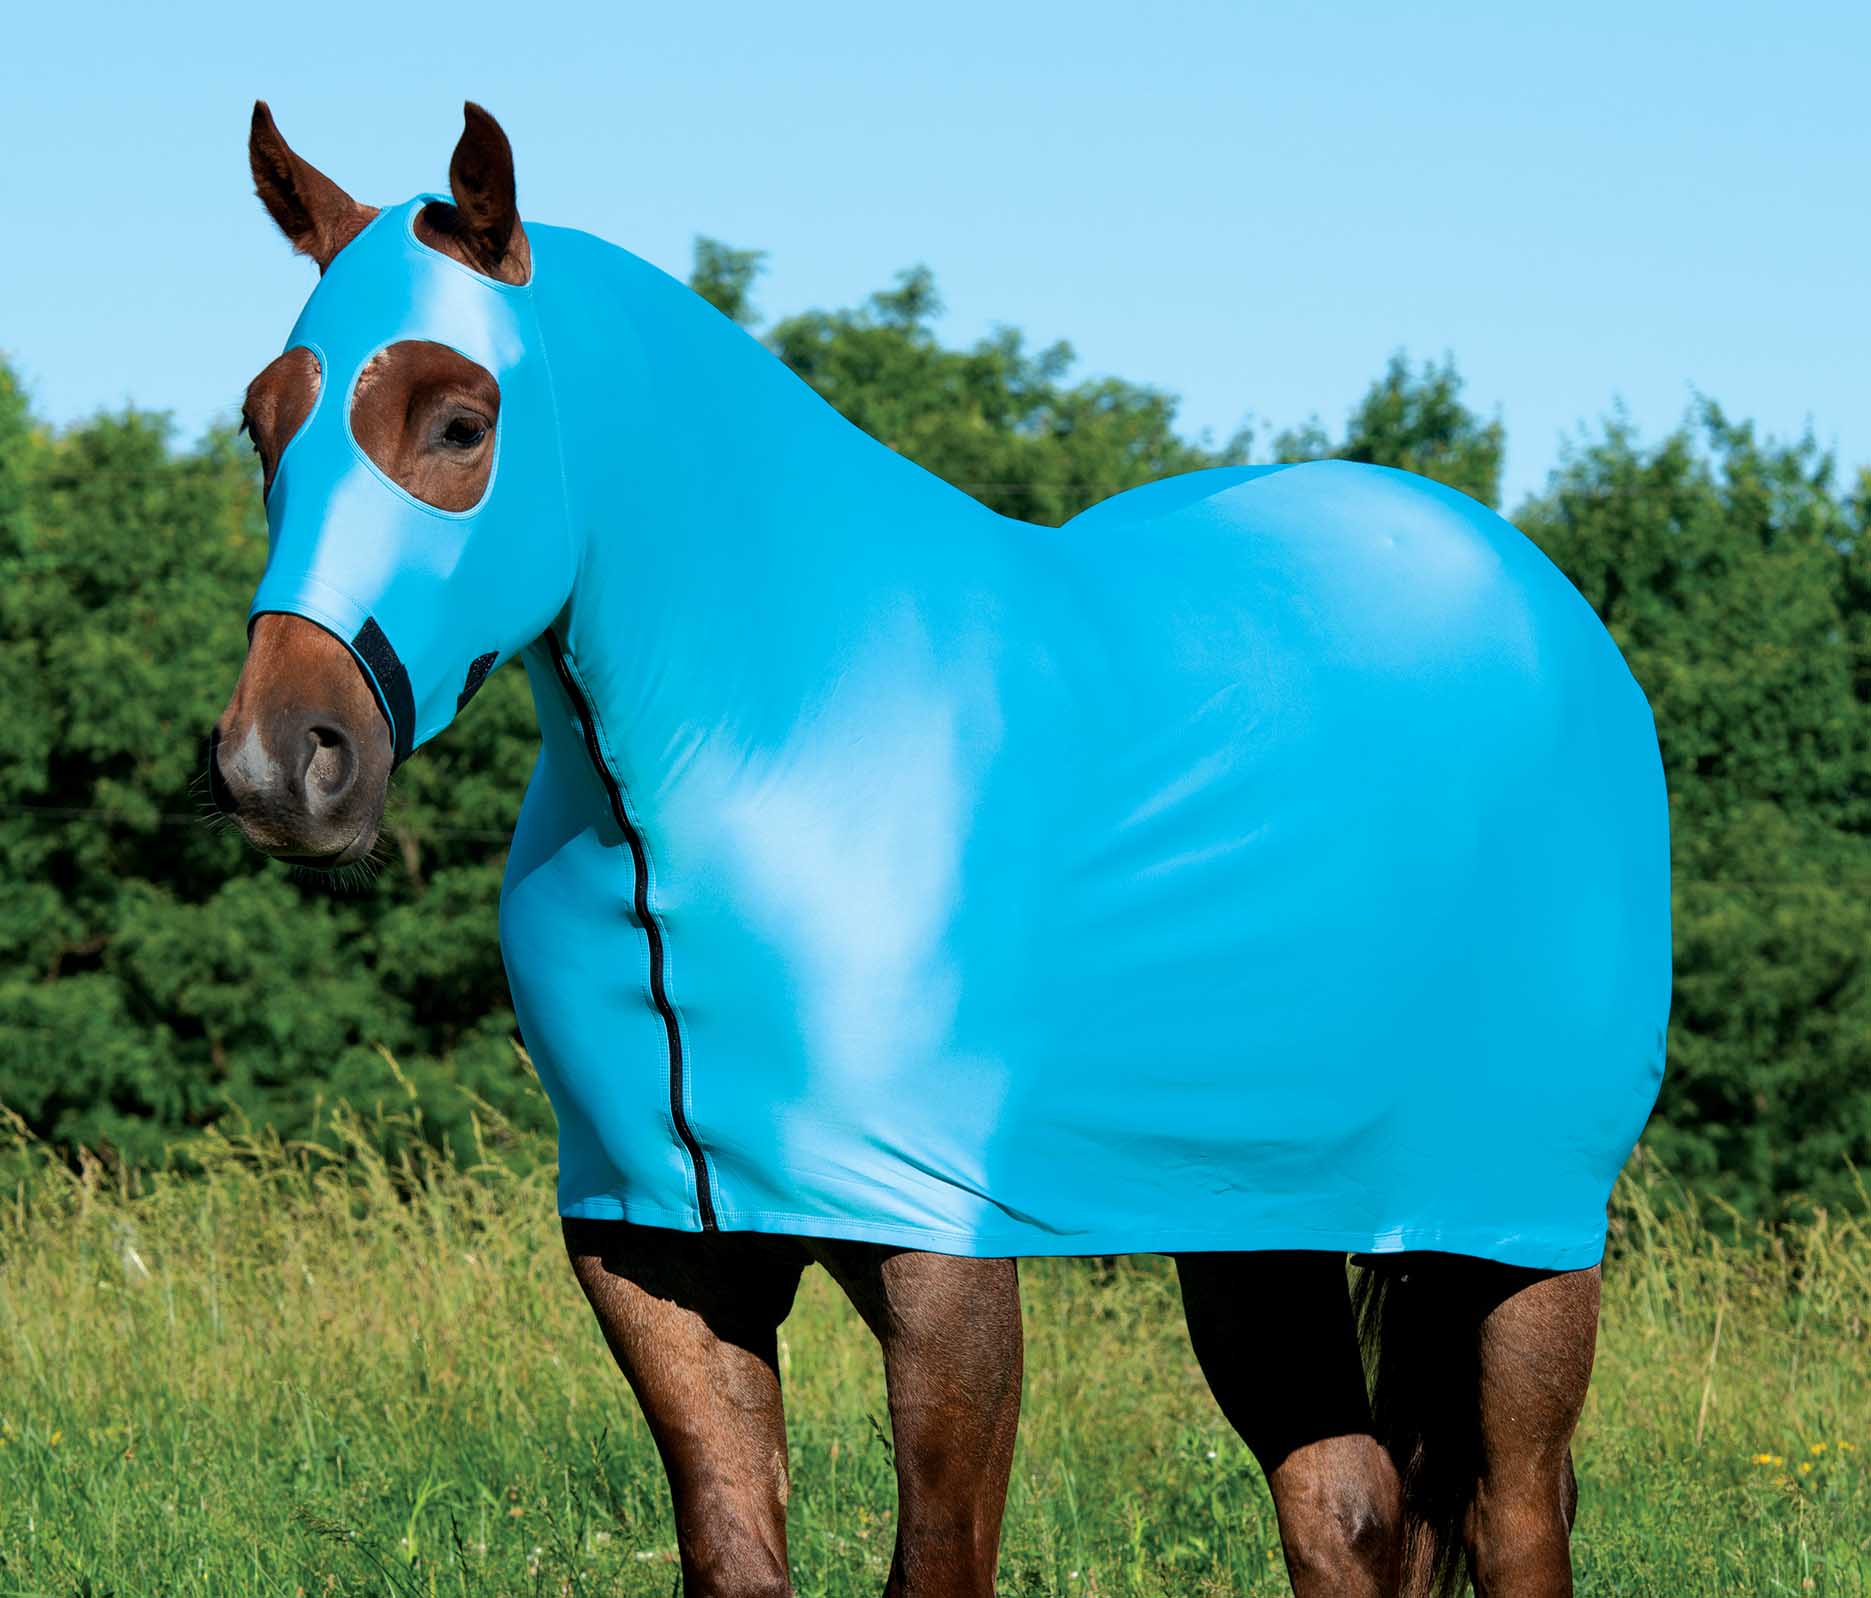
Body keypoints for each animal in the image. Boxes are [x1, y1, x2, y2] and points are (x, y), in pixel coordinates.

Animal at [209, 101, 1669, 1597]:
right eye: (263, 424)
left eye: (459, 421)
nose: (279, 764)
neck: (775, 737)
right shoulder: (653, 1257)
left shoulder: (942, 1264)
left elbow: (935, 1557)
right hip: (1257, 1224)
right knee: (1346, 1505)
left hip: (1519, 1239)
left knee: (1513, 1507)